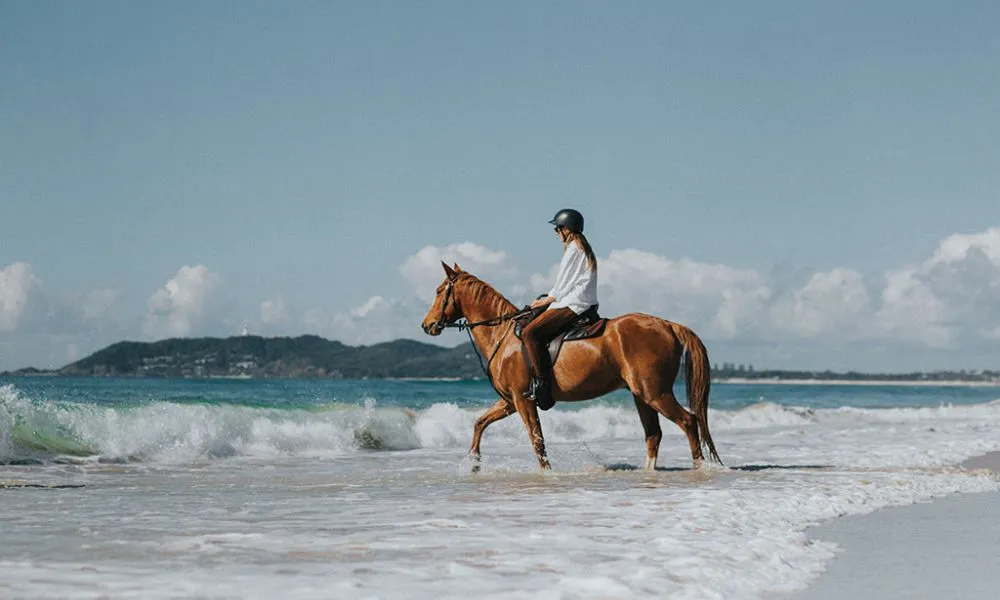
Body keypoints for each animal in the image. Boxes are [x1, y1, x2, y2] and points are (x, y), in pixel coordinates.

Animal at [420, 262, 722, 472]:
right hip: (641, 395)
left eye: (438, 291)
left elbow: (537, 439)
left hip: (655, 393)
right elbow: (480, 422)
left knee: (688, 421)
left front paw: (547, 473)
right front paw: (473, 461)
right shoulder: (510, 401)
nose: (427, 325)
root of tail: (669, 325)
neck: (502, 336)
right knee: (653, 434)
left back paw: (699, 467)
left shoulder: (523, 400)